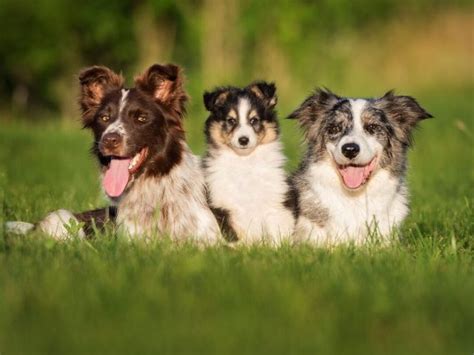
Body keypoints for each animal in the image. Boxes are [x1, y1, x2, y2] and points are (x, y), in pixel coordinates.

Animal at [201, 82, 296, 246]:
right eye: (231, 120)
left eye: (254, 120)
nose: (243, 140)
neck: (245, 162)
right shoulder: (222, 204)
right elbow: (233, 234)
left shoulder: (275, 201)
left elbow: (276, 230)